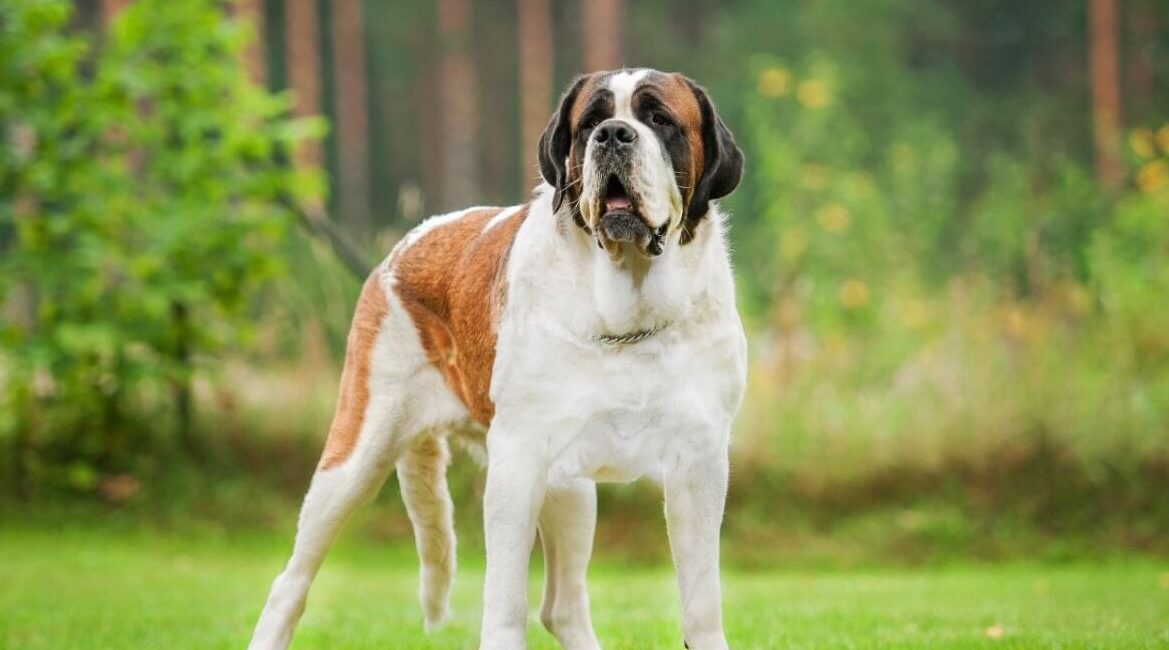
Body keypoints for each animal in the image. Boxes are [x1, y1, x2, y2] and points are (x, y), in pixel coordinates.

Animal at [252, 68, 748, 645]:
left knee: (563, 605)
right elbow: (506, 597)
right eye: (589, 124)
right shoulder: (518, 460)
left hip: (571, 487)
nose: (613, 135)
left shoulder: (700, 464)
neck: (626, 314)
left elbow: (702, 600)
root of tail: (404, 245)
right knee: (290, 580)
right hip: (354, 456)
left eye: (660, 120)